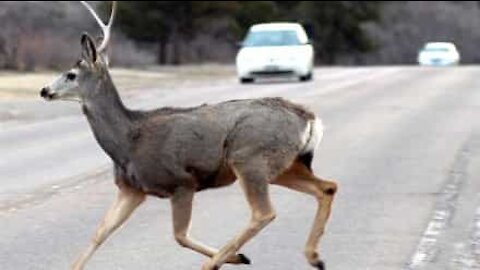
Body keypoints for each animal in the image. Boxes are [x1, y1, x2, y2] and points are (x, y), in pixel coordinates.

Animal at [38, 1, 338, 268]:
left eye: (71, 74)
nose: (44, 90)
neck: (127, 141)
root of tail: (308, 117)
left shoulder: (181, 182)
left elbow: (179, 235)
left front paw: (237, 257)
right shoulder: (131, 189)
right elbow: (100, 233)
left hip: (249, 157)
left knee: (264, 212)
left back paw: (215, 262)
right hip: (284, 165)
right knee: (327, 187)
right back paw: (314, 257)